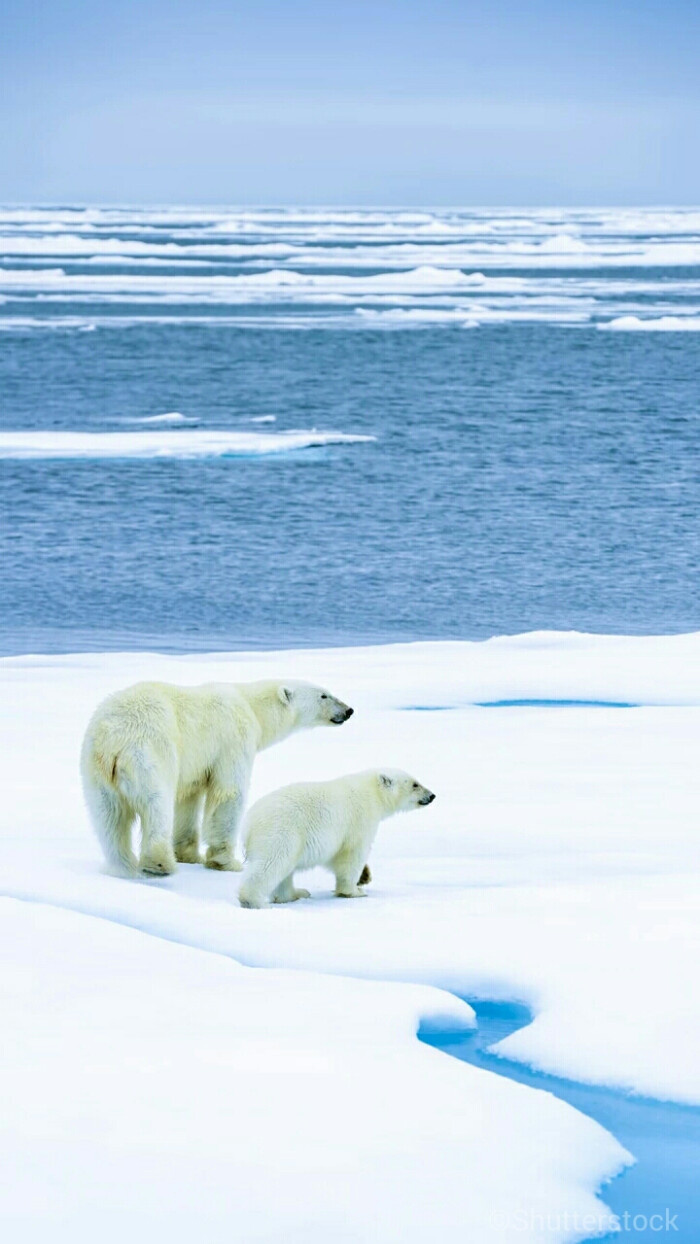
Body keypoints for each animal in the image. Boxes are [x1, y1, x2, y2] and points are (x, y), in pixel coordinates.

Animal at [82, 681, 353, 875]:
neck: (251, 706)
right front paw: (227, 862)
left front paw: (190, 855)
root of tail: (112, 736)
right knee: (156, 802)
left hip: (95, 769)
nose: (349, 710)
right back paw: (159, 863)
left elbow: (189, 798)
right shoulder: (234, 738)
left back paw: (121, 865)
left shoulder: (196, 762)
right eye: (324, 695)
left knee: (108, 817)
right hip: (150, 750)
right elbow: (229, 793)